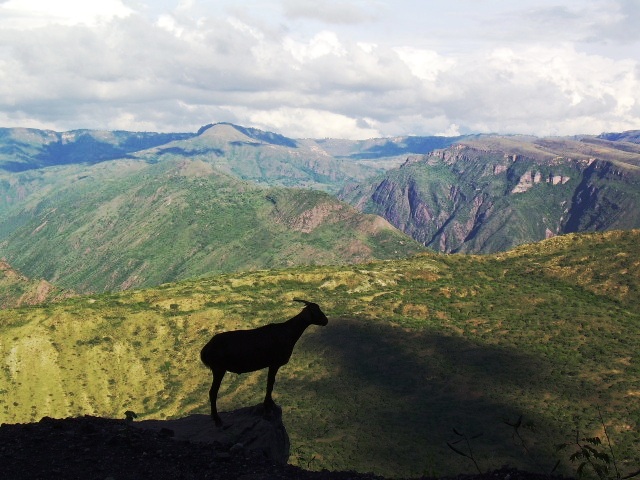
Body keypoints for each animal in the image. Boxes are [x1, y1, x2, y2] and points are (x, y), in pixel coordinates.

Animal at [201, 298, 330, 426]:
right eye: (316, 311)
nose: (326, 320)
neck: (287, 332)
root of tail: (206, 349)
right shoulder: (274, 364)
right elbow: (270, 384)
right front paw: (268, 406)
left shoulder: (272, 365)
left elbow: (271, 383)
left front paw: (270, 403)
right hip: (218, 369)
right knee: (213, 392)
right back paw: (217, 419)